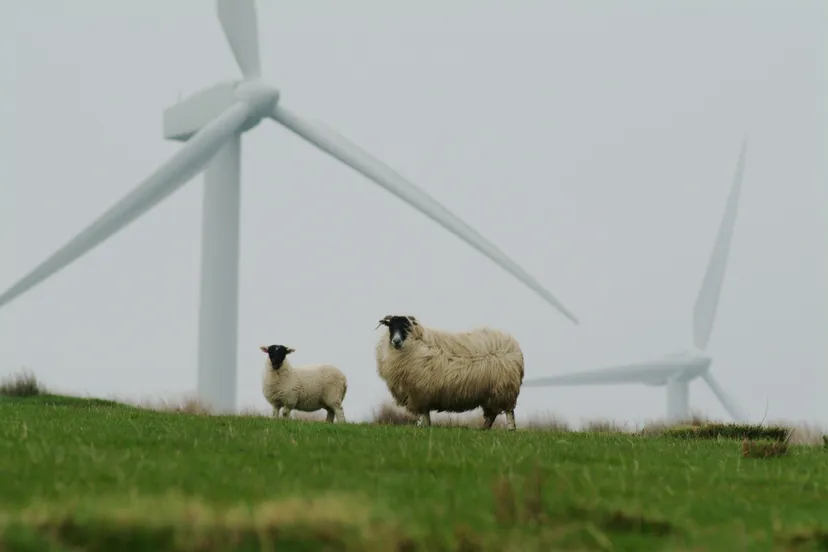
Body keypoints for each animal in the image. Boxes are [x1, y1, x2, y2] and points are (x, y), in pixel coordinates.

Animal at [374, 314, 524, 430]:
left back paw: (510, 429)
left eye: (406, 327)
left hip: (505, 389)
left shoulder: (420, 392)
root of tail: (514, 346)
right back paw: (484, 429)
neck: (414, 345)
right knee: (492, 414)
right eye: (391, 326)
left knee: (509, 411)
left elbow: (423, 413)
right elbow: (425, 415)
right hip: (490, 393)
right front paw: (424, 426)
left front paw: (421, 426)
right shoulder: (420, 394)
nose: (396, 341)